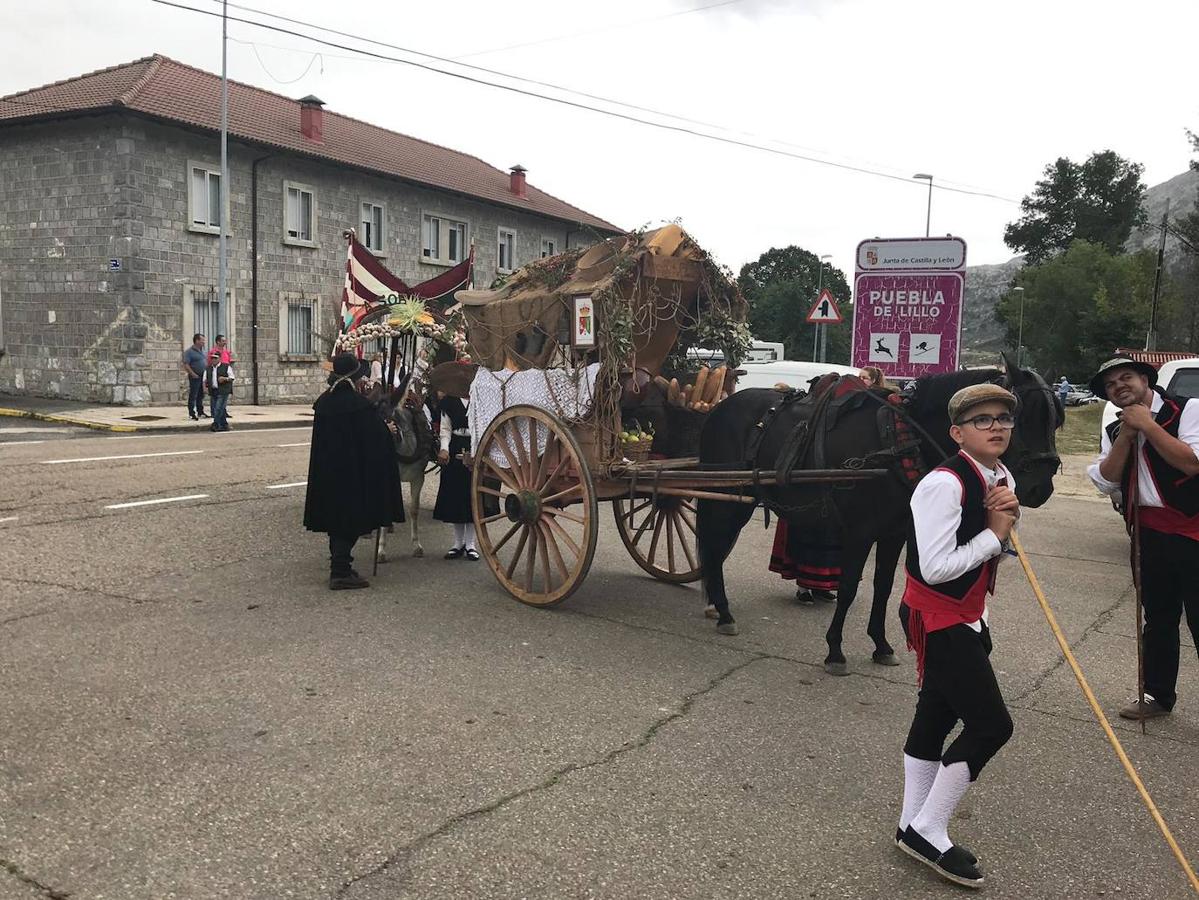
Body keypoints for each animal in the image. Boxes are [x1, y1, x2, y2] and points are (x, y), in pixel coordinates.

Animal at [700, 354, 1064, 671]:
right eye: (1019, 416)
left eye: (1057, 419)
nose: (1040, 488)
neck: (897, 442)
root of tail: (721, 407)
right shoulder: (860, 532)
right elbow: (849, 587)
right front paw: (835, 649)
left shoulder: (895, 533)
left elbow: (884, 587)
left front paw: (881, 645)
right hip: (727, 497)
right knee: (714, 547)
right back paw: (723, 610)